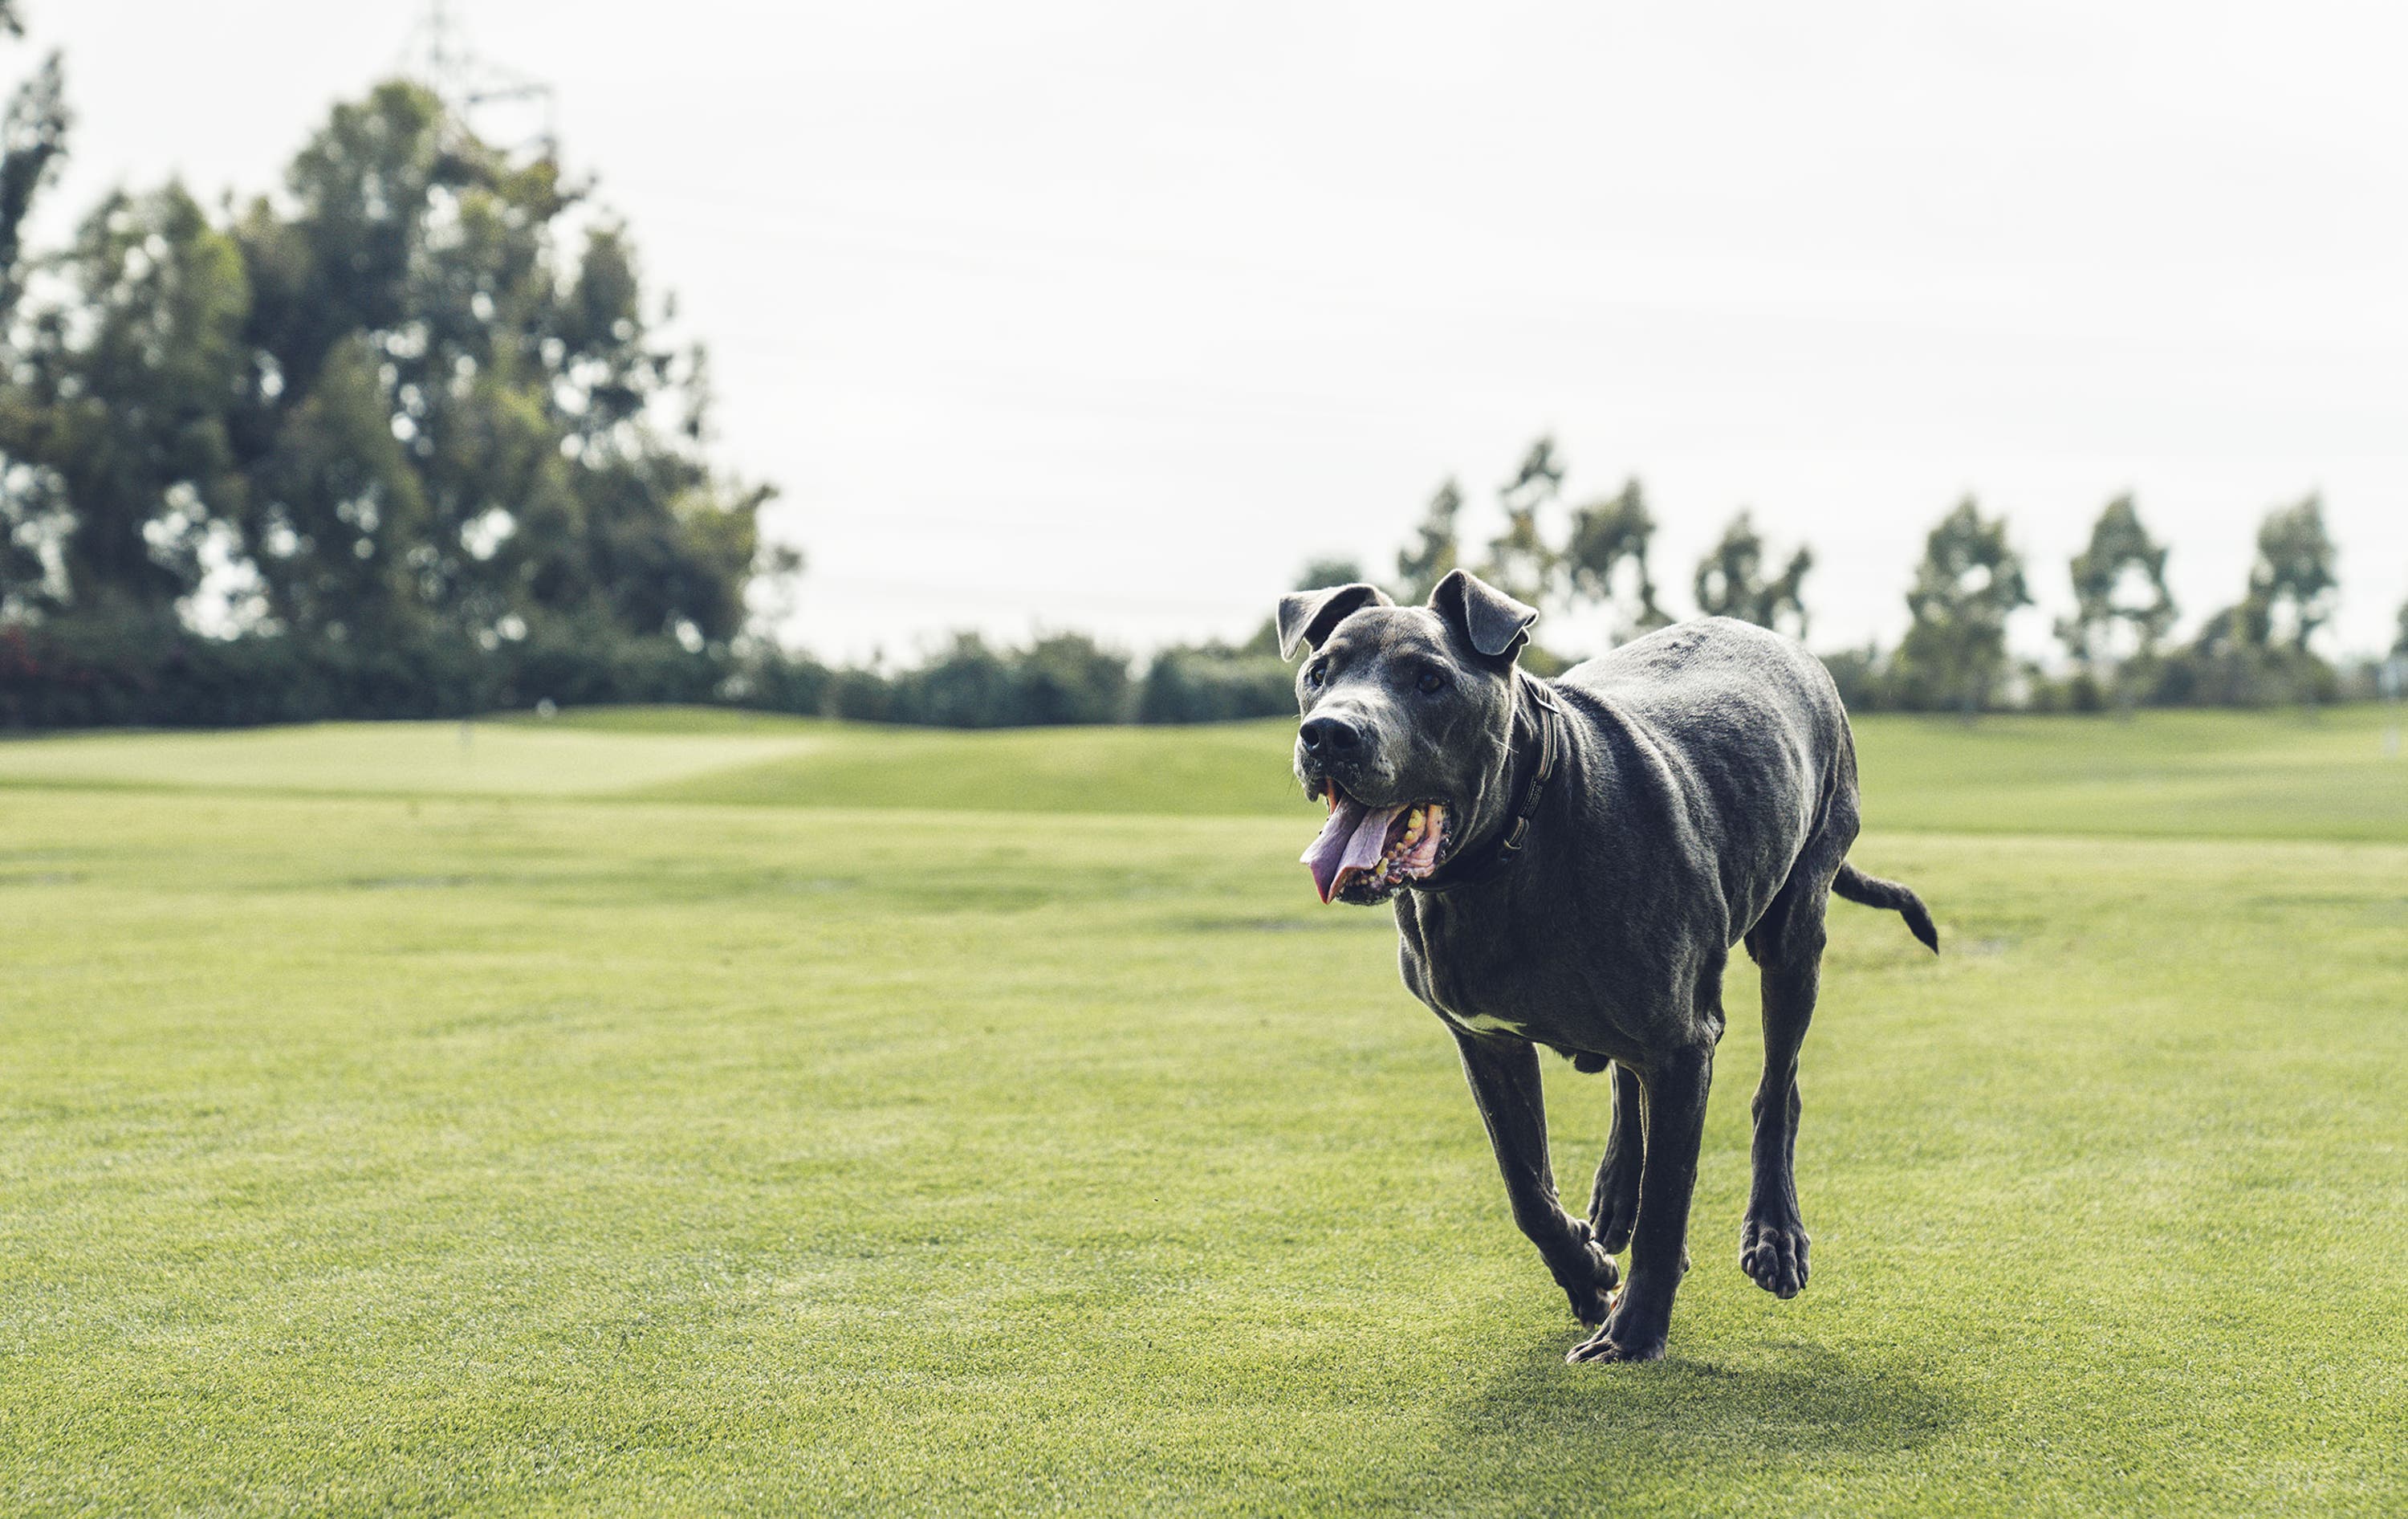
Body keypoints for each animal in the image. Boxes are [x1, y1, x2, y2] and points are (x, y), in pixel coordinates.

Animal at [1281, 568, 1936, 1367]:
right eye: (1319, 673)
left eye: (1430, 680)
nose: (1328, 733)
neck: (1510, 851)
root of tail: (1785, 643)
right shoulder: (1486, 1042)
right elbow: (1527, 1190)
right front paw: (1588, 1273)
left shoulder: (1684, 1046)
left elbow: (1669, 1202)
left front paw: (1633, 1333)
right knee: (1630, 1086)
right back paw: (1616, 1195)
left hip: (1795, 930)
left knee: (1776, 1090)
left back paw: (1774, 1234)